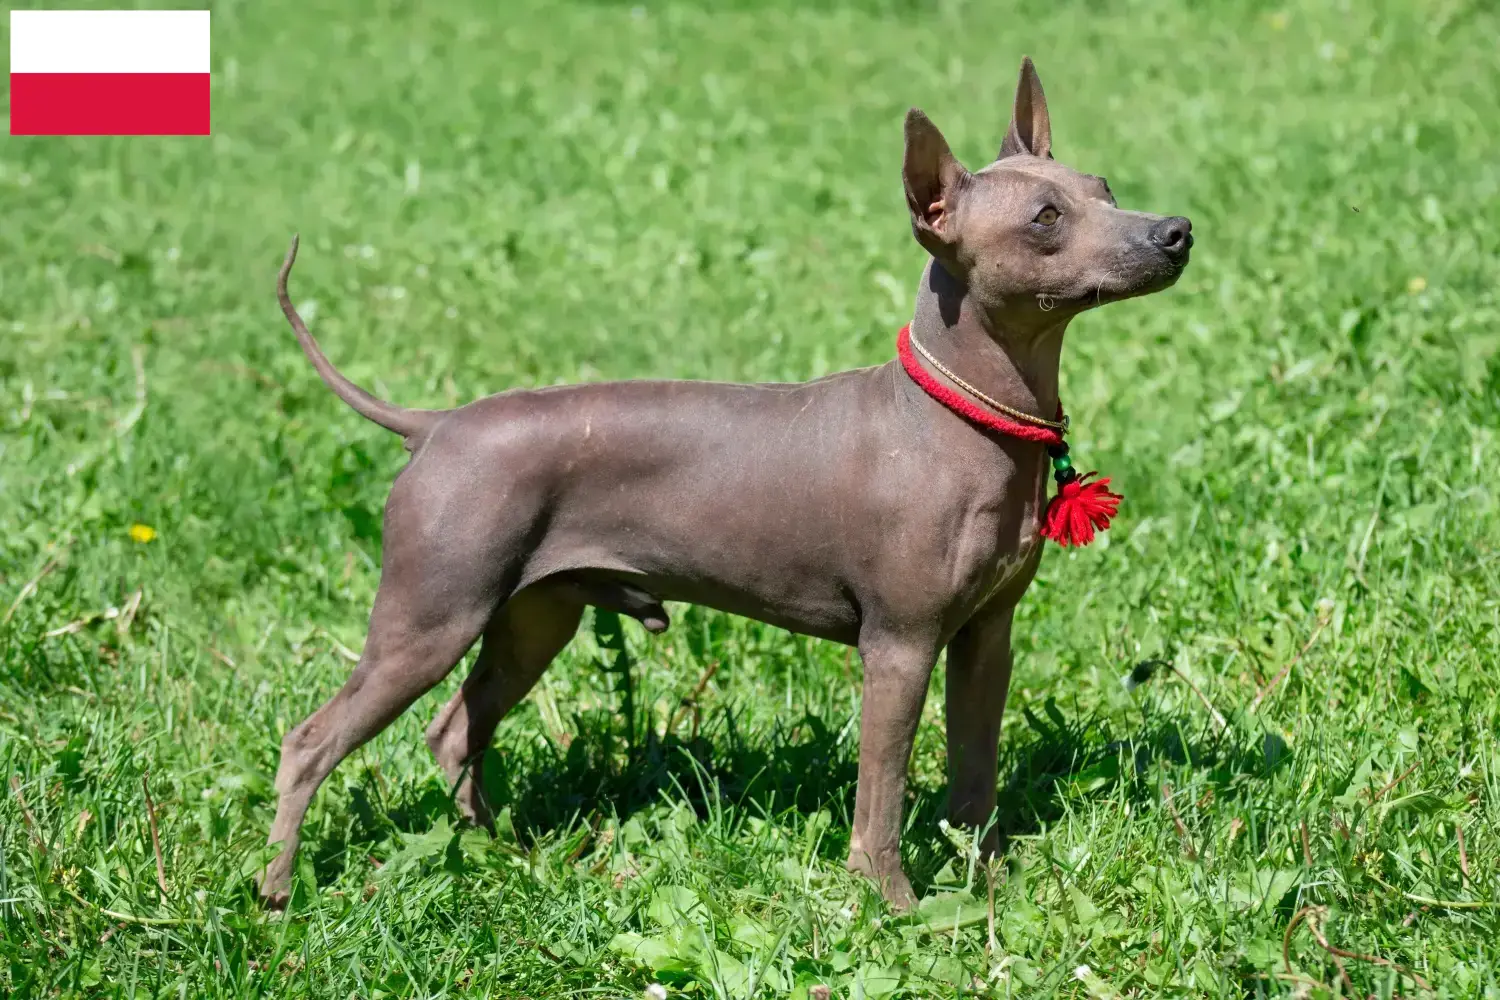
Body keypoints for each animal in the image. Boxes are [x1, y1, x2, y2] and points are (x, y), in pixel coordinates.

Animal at [261, 56, 1194, 917]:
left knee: (455, 729)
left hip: (532, 619)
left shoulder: (985, 641)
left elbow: (975, 777)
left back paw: (499, 856)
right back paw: (278, 891)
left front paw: (990, 887)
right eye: (1047, 219)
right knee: (310, 741)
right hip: (431, 619)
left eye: (1103, 190)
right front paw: (892, 906)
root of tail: (436, 424)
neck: (960, 420)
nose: (1176, 230)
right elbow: (882, 798)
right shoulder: (899, 647)